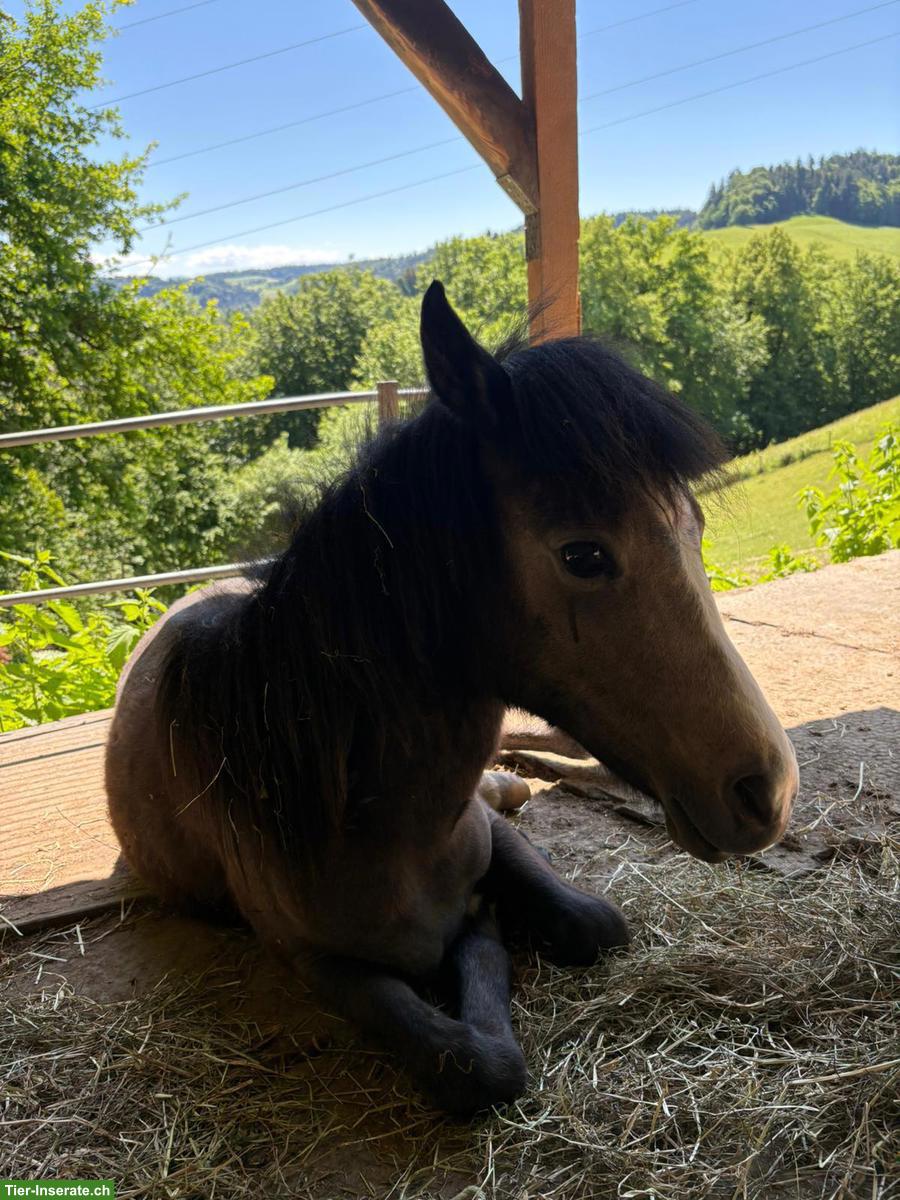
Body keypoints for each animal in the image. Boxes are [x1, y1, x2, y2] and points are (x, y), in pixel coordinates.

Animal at [105, 281, 798, 1115]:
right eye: (583, 554)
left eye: (692, 527)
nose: (768, 791)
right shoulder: (316, 962)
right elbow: (474, 1061)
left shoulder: (492, 846)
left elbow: (589, 923)